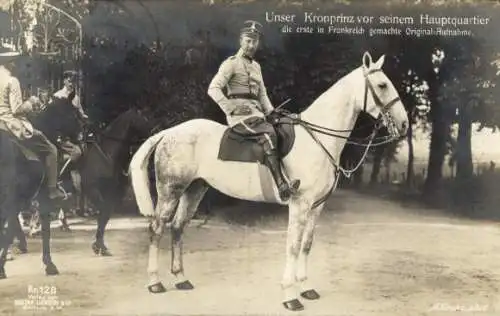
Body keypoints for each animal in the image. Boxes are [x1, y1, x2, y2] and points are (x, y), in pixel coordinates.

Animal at [128, 51, 406, 312]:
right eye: (382, 85)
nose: (404, 125)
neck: (316, 139)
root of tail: (169, 132)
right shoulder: (300, 205)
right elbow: (293, 246)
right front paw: (290, 296)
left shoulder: (317, 207)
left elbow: (306, 245)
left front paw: (306, 288)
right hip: (171, 190)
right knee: (157, 228)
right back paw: (155, 283)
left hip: (194, 190)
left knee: (177, 227)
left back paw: (181, 279)